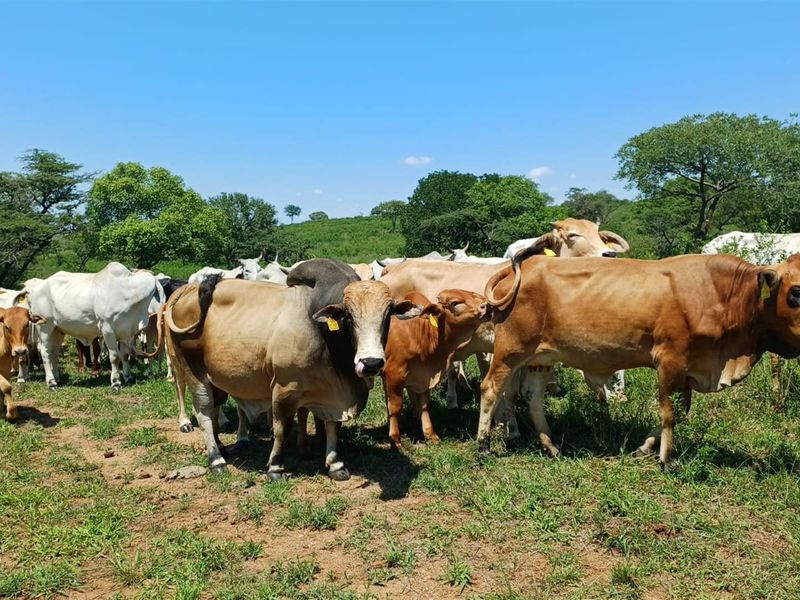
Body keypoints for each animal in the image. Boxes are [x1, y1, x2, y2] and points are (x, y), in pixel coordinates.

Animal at [24, 262, 164, 390]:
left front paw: (128, 377)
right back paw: (51, 382)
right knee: (45, 352)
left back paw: (57, 379)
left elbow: (124, 355)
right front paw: (115, 382)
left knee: (53, 352)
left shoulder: (125, 331)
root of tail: (34, 289)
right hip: (45, 327)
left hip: (57, 330)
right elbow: (114, 357)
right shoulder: (107, 329)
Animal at [159, 259, 421, 479]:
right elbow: (281, 428)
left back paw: (221, 446)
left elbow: (332, 426)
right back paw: (216, 459)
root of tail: (186, 292)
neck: (323, 333)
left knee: (214, 409)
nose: (371, 363)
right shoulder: (284, 389)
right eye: (348, 317)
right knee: (203, 411)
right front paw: (275, 467)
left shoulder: (331, 392)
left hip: (215, 379)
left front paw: (335, 464)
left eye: (388, 315)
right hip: (192, 370)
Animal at [382, 289, 491, 447]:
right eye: (455, 303)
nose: (487, 307)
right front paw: (395, 438)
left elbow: (424, 405)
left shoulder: (423, 376)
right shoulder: (394, 373)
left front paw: (430, 434)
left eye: (474, 295)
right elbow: (396, 407)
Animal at [479, 251, 800, 470]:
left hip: (541, 356)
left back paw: (551, 446)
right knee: (491, 389)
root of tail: (521, 267)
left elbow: (679, 412)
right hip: (510, 351)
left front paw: (645, 448)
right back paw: (483, 445)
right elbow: (668, 413)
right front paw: (667, 459)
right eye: (796, 291)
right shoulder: (669, 360)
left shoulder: (688, 370)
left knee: (532, 396)